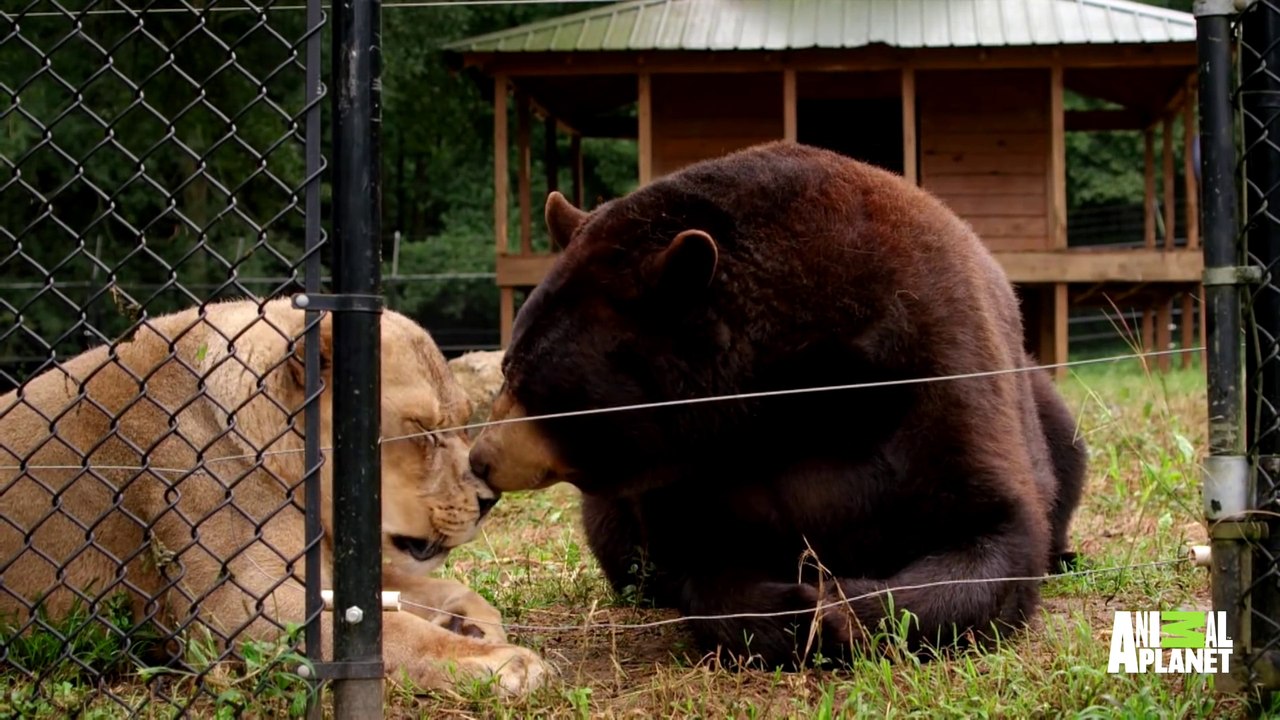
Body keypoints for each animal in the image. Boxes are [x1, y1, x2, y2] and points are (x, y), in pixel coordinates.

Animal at [0, 297, 548, 696]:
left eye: (463, 421)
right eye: (423, 431)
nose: (489, 499)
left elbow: (437, 591)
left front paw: (475, 624)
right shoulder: (235, 610)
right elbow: (395, 632)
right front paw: (502, 661)